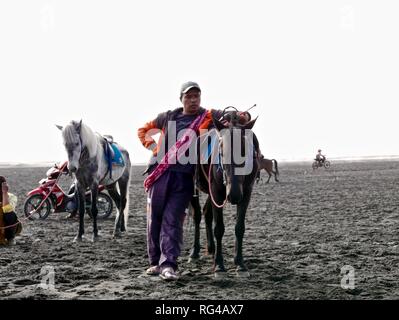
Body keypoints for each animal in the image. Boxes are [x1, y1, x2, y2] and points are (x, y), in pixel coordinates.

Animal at [188, 110, 258, 278]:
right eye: (221, 151)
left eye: (245, 151)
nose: (233, 195)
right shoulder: (217, 192)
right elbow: (219, 228)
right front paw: (219, 265)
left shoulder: (246, 193)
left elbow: (239, 228)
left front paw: (239, 263)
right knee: (197, 215)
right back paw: (195, 252)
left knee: (207, 213)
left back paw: (211, 249)